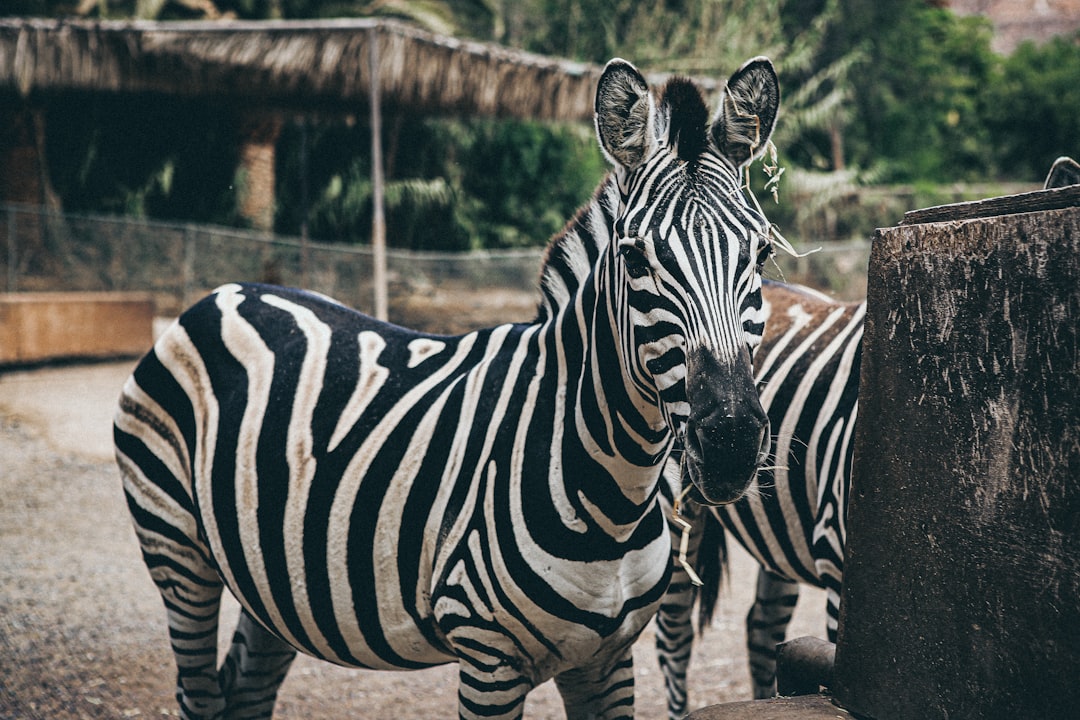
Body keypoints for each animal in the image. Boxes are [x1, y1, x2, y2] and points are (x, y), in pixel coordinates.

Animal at [114, 56, 781, 720]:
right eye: (637, 259)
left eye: (761, 254)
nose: (730, 443)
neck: (616, 497)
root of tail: (226, 292)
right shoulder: (488, 659)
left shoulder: (608, 660)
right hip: (177, 548)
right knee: (197, 687)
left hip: (273, 585)